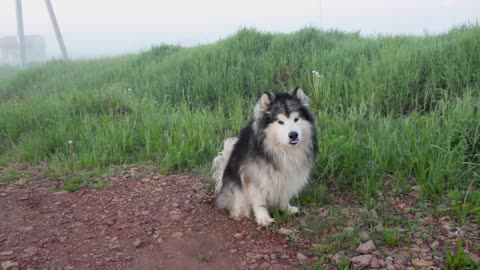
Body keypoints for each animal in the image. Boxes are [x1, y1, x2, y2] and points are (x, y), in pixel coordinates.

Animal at [212, 88, 316, 226]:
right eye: (280, 122)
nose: (293, 135)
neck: (283, 150)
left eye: (296, 119)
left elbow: (284, 197)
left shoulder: (288, 176)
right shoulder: (255, 177)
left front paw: (286, 209)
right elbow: (259, 201)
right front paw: (263, 218)